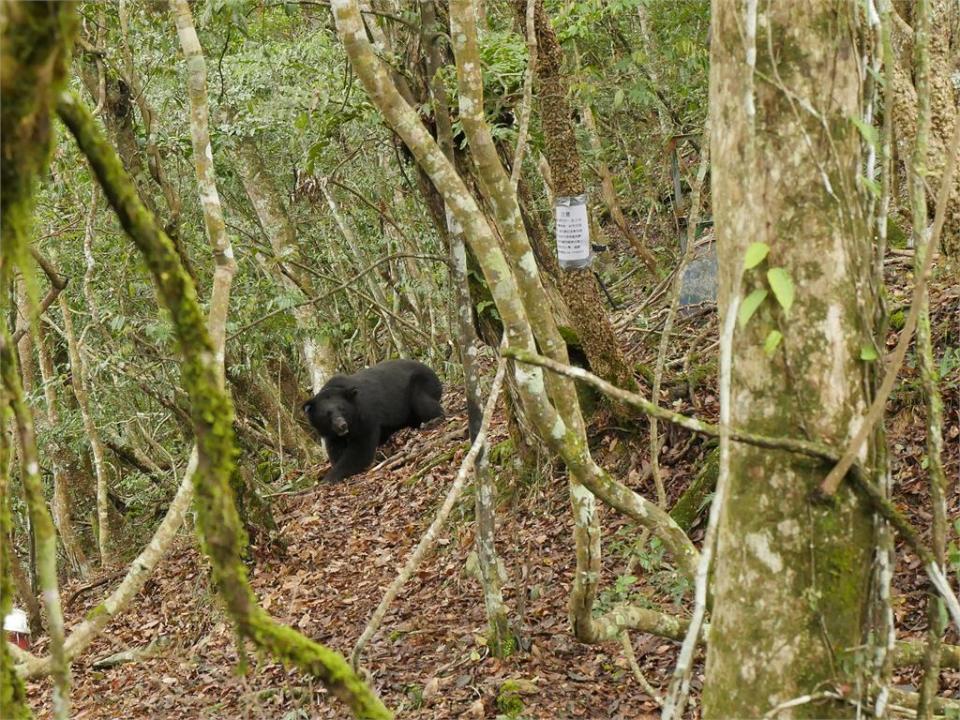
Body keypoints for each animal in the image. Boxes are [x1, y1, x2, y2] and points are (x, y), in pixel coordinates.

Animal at [302, 360, 444, 484]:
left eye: (342, 409)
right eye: (327, 414)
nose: (342, 425)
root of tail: (432, 371)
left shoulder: (366, 416)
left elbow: (360, 450)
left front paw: (329, 478)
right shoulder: (332, 434)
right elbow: (336, 450)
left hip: (420, 384)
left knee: (423, 403)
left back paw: (434, 421)